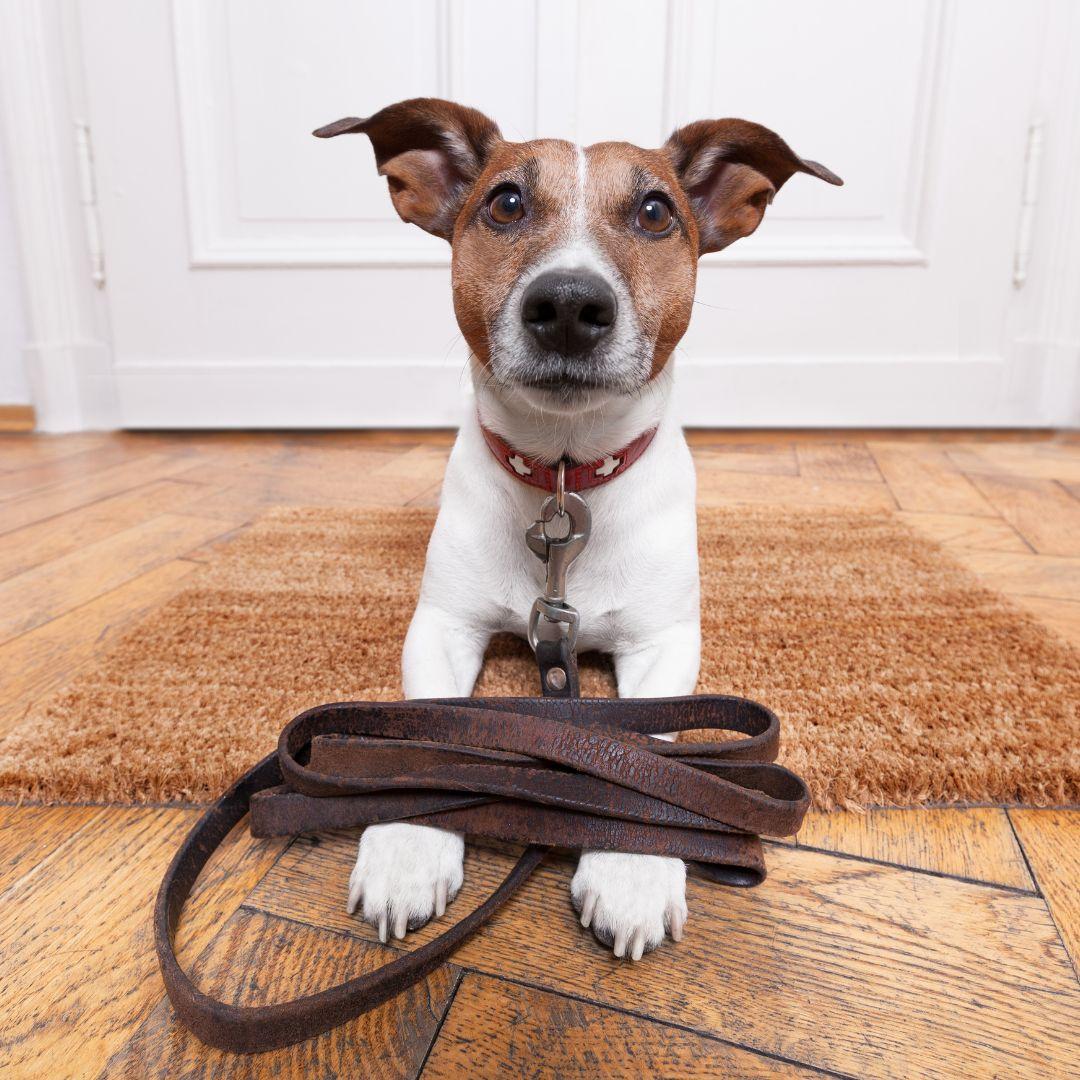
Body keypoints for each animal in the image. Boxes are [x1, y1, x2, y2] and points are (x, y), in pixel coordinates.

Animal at [315, 99, 838, 963]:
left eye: (656, 212)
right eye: (505, 203)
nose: (567, 304)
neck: (564, 477)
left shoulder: (664, 644)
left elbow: (642, 746)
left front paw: (632, 865)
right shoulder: (442, 625)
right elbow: (436, 729)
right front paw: (410, 844)